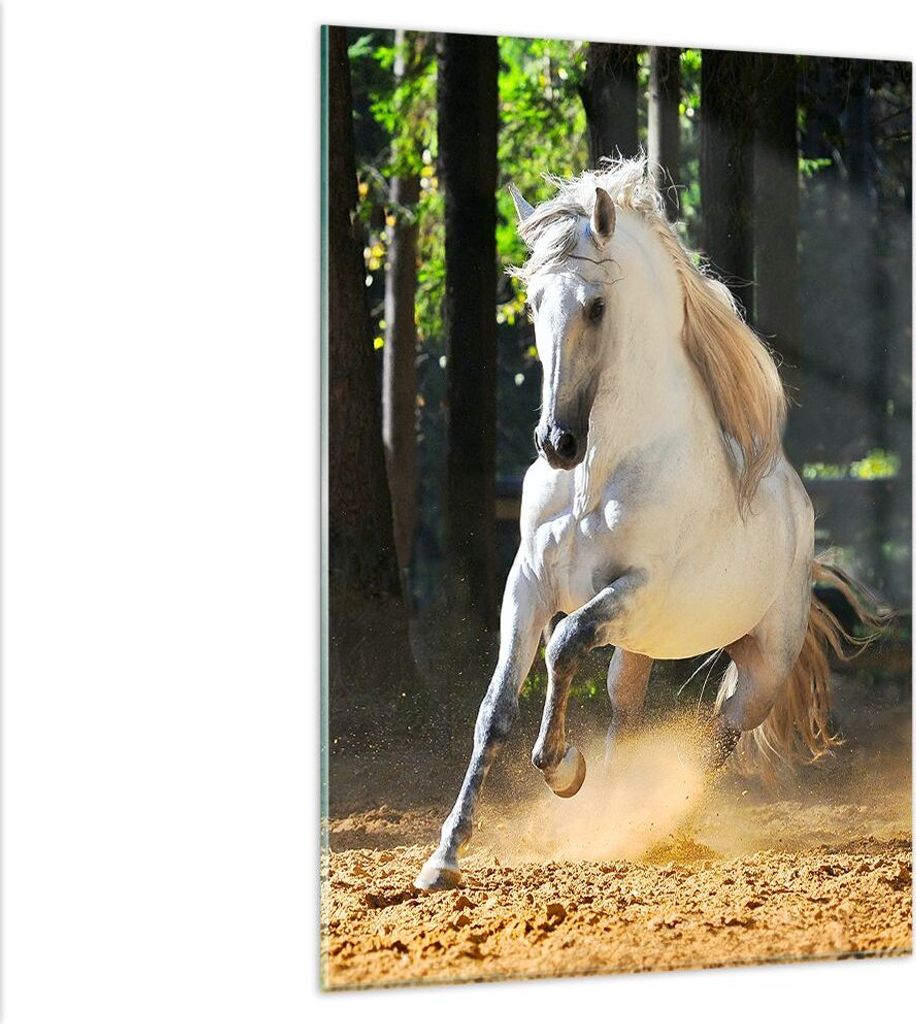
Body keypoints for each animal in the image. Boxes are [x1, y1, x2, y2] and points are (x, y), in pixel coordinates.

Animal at [415, 157, 882, 891]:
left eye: (596, 306)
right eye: (534, 302)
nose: (557, 443)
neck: (598, 476)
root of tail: (801, 517)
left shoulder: (636, 590)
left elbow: (563, 645)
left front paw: (562, 770)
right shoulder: (527, 588)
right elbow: (495, 710)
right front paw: (444, 858)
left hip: (760, 667)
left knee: (719, 737)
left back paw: (657, 826)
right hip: (638, 650)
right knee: (627, 713)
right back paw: (612, 820)